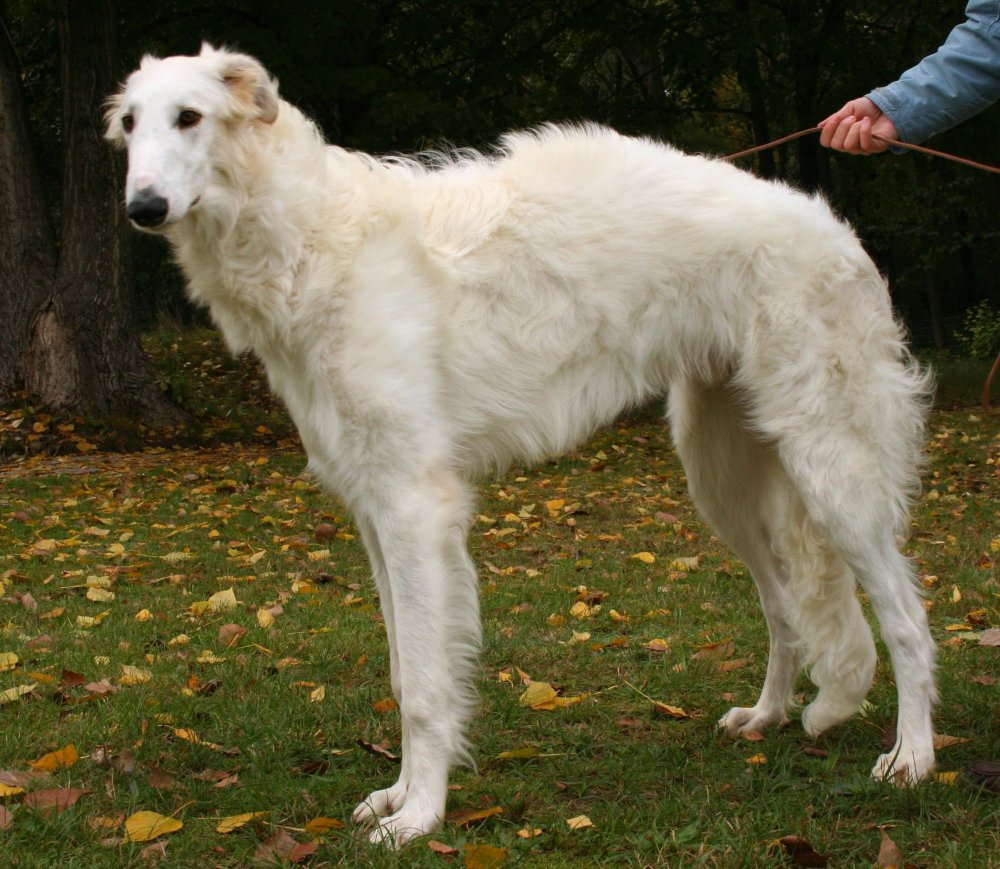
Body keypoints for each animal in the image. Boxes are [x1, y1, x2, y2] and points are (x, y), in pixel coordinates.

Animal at [107, 44, 936, 844]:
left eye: (190, 116)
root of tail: (835, 229)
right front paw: (397, 795)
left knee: (904, 615)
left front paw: (420, 814)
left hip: (833, 467)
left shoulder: (415, 504)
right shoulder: (373, 504)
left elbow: (427, 687)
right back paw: (766, 715)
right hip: (721, 474)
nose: (142, 208)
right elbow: (405, 671)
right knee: (784, 605)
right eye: (129, 125)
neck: (314, 240)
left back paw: (913, 757)